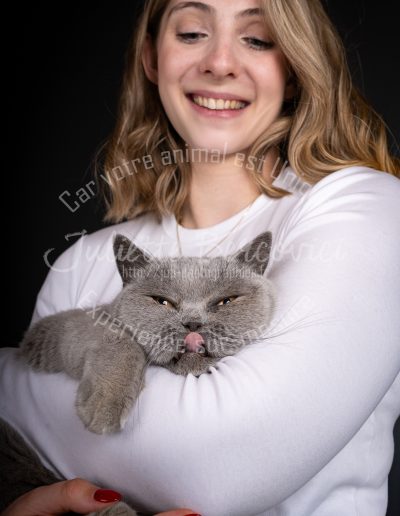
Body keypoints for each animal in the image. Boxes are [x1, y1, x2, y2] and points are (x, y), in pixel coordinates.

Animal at [1, 230, 275, 515]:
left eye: (225, 301)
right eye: (163, 302)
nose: (192, 323)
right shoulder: (53, 330)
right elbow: (118, 334)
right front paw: (105, 404)